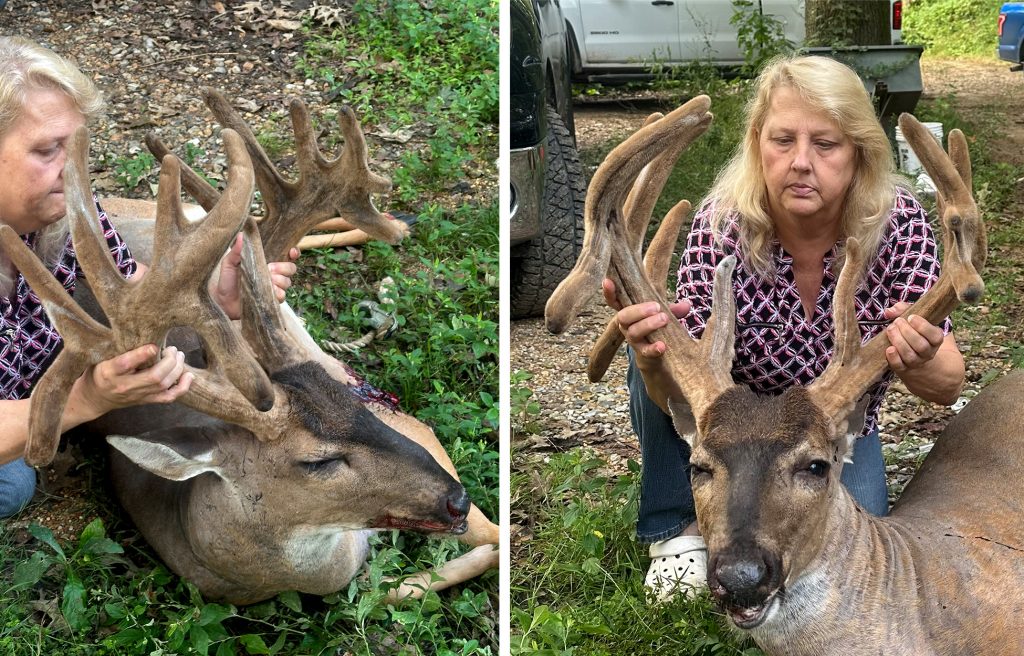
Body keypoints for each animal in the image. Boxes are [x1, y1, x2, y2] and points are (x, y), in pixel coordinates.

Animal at [0, 90, 498, 605]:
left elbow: (498, 541)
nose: (457, 499)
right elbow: (393, 588)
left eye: (358, 410)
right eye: (318, 462)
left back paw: (395, 224)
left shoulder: (396, 418)